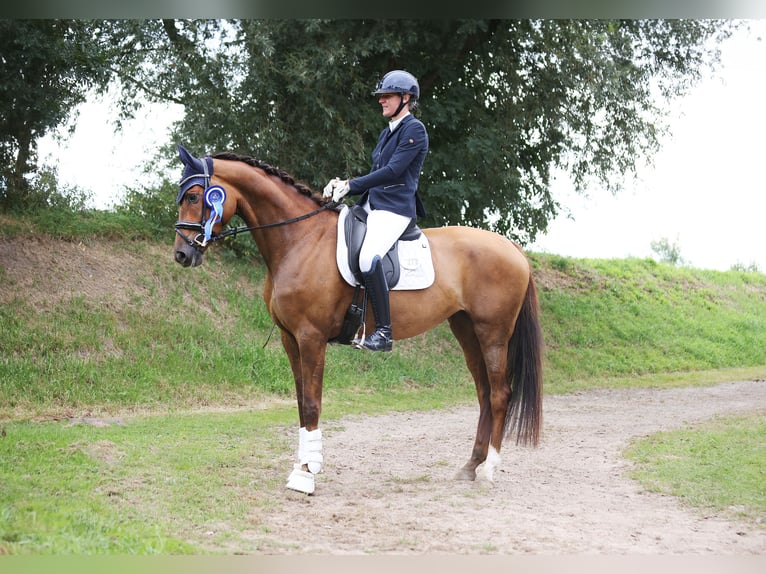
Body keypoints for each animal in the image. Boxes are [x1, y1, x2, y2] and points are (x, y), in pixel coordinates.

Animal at [172, 144, 543, 494]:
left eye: (193, 196)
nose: (182, 254)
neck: (301, 239)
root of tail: (512, 248)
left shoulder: (311, 337)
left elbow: (312, 403)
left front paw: (306, 475)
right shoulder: (289, 338)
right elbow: (300, 402)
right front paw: (300, 467)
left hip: (493, 333)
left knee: (499, 394)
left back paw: (489, 470)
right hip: (466, 329)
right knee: (484, 393)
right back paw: (470, 466)